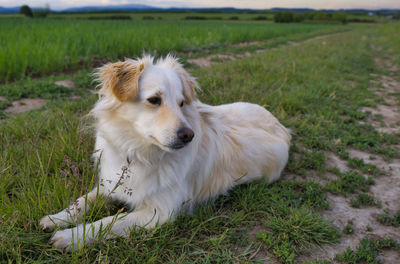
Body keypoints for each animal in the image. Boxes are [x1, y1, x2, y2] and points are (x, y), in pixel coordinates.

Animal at [39, 54, 290, 251]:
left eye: (181, 103)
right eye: (154, 100)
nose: (188, 135)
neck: (137, 152)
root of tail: (283, 128)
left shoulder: (159, 212)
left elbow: (110, 221)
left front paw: (71, 236)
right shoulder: (110, 185)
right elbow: (82, 201)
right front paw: (56, 218)